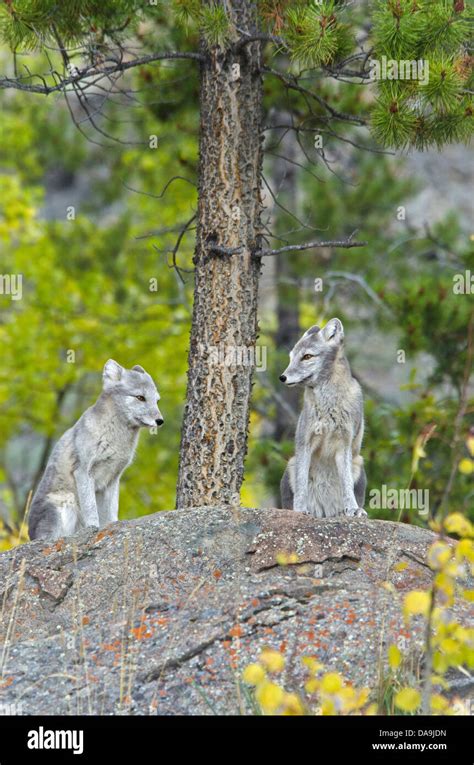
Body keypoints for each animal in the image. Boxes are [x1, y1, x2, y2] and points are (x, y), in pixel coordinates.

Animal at [29, 362, 165, 540]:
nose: (160, 421)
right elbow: (91, 510)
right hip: (66, 503)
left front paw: (114, 526)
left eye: (157, 400)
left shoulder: (113, 479)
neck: (115, 438)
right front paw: (93, 529)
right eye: (140, 397)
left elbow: (112, 512)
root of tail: (30, 533)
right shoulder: (83, 472)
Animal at [282, 316, 366, 520]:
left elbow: (346, 486)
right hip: (291, 463)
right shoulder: (304, 443)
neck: (329, 405)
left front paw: (353, 509)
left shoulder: (344, 445)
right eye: (291, 358)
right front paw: (300, 509)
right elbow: (302, 484)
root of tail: (325, 513)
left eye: (307, 357)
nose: (282, 377)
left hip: (358, 463)